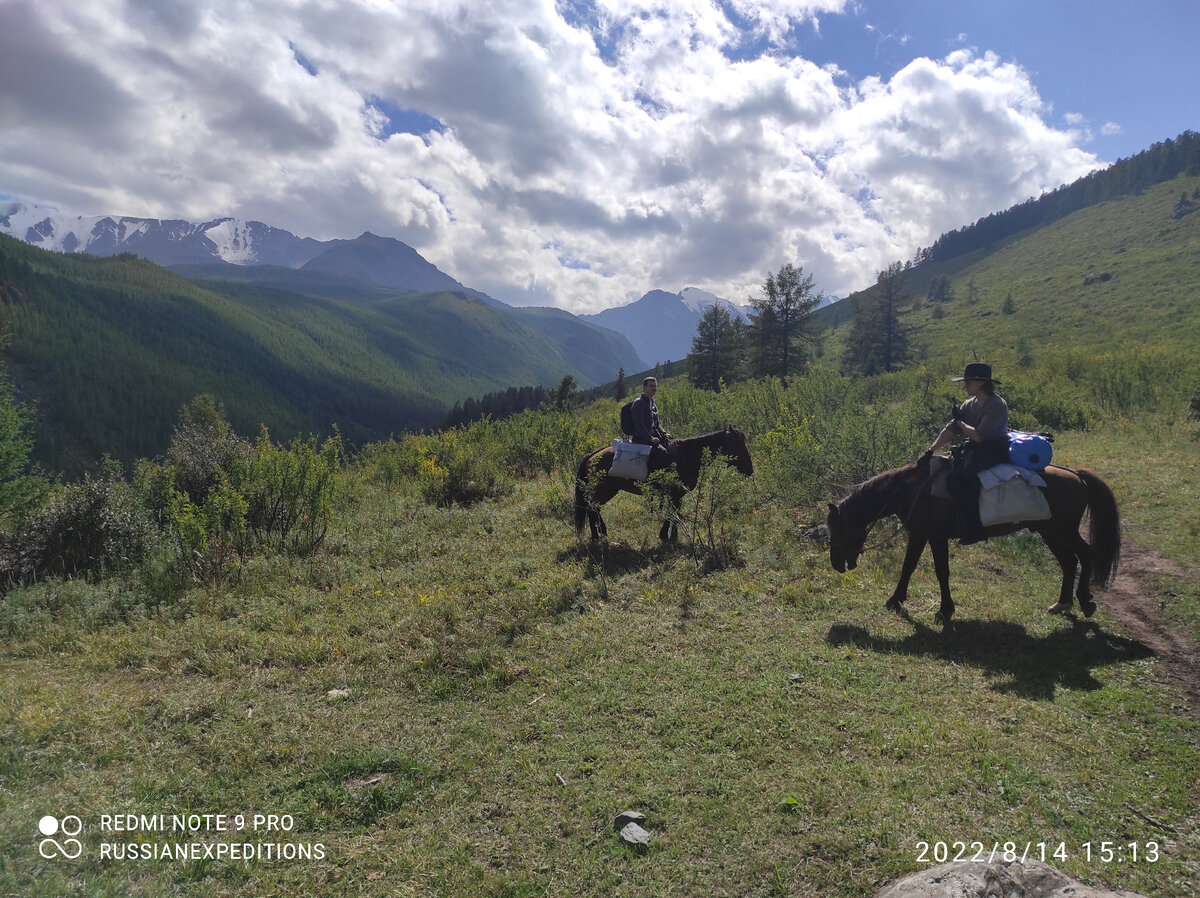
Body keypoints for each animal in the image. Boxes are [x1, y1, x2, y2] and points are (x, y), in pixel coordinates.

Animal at [571, 427, 748, 540]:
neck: (688, 455)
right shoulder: (676, 494)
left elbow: (673, 513)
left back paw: (601, 532)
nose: (750, 469)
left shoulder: (676, 495)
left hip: (607, 490)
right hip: (604, 490)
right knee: (591, 508)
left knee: (594, 508)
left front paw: (668, 535)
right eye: (738, 444)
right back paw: (596, 536)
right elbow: (673, 514)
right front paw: (670, 536)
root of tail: (592, 455)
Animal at [820, 463, 1118, 624]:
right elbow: (908, 566)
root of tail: (1077, 475)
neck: (913, 489)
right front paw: (895, 599)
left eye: (837, 530)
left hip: (1059, 531)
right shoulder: (919, 533)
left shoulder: (936, 536)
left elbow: (941, 572)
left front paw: (944, 611)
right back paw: (1063, 604)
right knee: (1070, 562)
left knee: (1083, 556)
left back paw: (1085, 601)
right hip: (1052, 532)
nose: (836, 564)